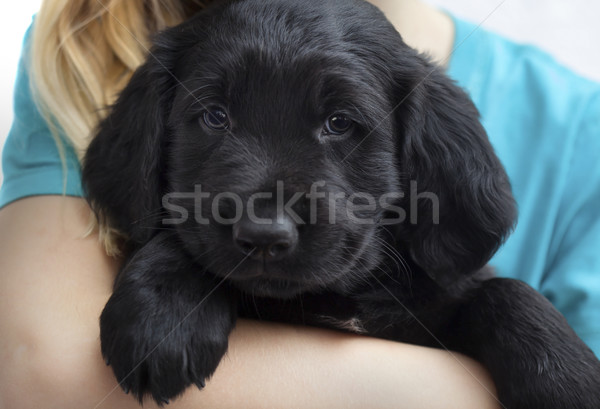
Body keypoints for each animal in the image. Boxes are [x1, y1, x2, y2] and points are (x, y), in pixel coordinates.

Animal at [83, 1, 600, 406]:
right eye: (214, 116)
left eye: (339, 122)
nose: (265, 236)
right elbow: (182, 240)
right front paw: (162, 317)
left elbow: (506, 291)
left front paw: (568, 379)